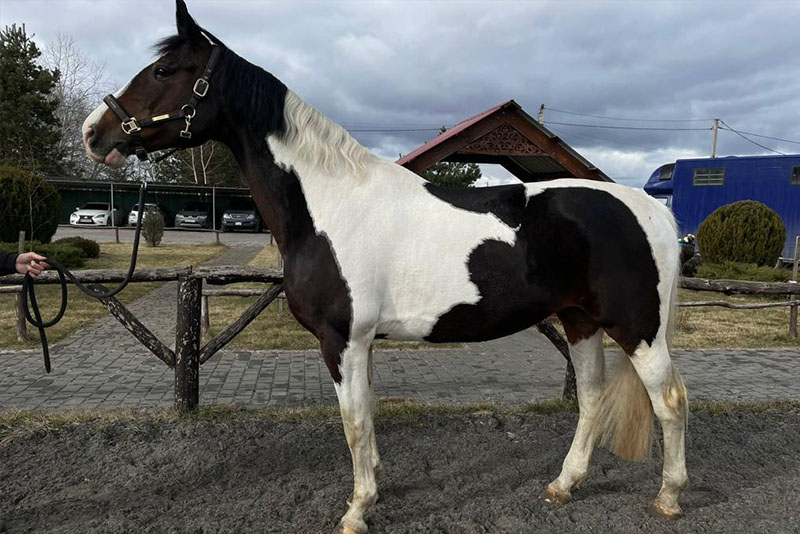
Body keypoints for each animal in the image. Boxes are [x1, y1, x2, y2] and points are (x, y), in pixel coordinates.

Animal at [84, 2, 692, 532]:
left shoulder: (341, 340)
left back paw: (668, 497)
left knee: (668, 402)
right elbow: (369, 416)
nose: (95, 133)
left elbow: (353, 423)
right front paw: (376, 488)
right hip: (580, 320)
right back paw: (564, 486)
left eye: (164, 70)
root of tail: (654, 210)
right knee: (591, 398)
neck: (327, 204)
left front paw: (357, 510)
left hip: (636, 329)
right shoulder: (362, 342)